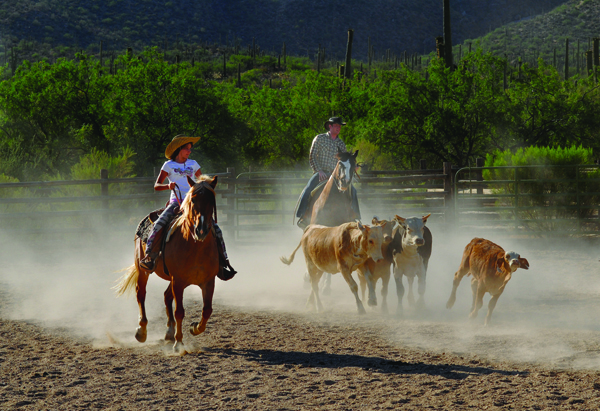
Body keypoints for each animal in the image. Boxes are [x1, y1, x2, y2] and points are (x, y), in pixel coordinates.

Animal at [115, 174, 220, 354]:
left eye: (211, 200)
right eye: (193, 199)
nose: (201, 230)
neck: (196, 247)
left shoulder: (208, 281)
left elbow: (207, 310)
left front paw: (194, 328)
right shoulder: (178, 281)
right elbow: (180, 312)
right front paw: (179, 344)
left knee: (166, 296)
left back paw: (169, 332)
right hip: (143, 270)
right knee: (141, 294)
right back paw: (142, 331)